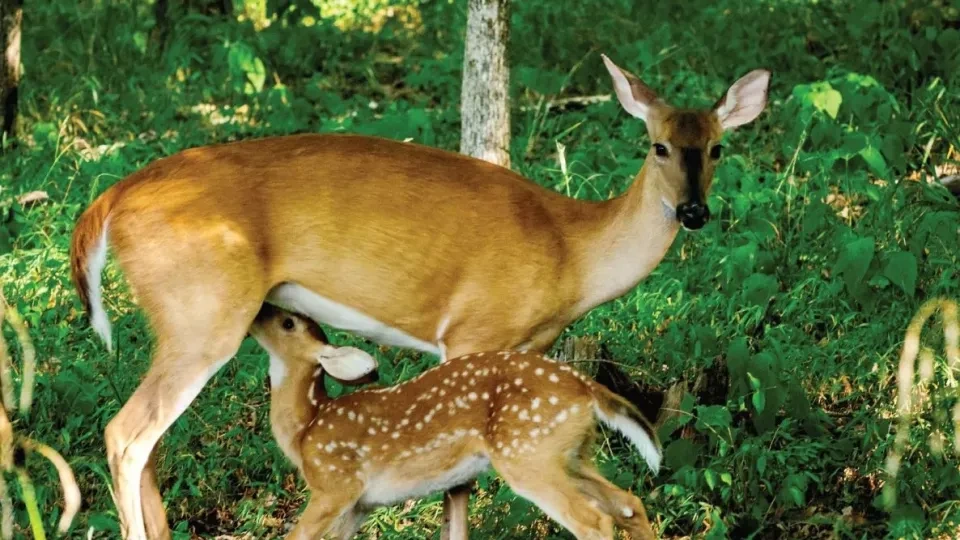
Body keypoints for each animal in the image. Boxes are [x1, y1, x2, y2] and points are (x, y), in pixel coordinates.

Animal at [250, 303, 661, 540]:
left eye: (287, 323)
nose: (260, 307)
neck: (306, 429)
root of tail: (584, 385)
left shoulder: (334, 486)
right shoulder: (359, 506)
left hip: (528, 453)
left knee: (593, 522)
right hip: (572, 453)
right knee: (628, 504)